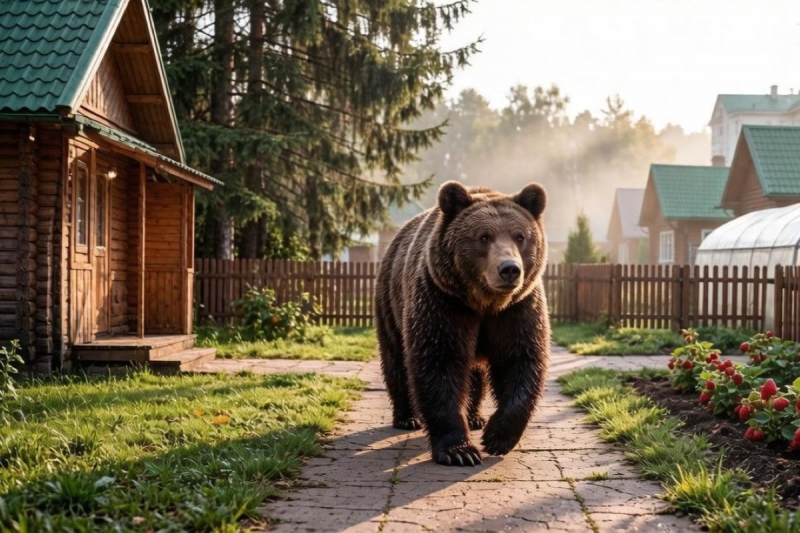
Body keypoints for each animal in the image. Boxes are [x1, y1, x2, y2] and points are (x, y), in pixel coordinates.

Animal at [374, 180, 550, 467]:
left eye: (520, 236)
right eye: (484, 236)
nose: (509, 269)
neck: (485, 303)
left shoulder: (517, 310)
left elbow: (520, 361)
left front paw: (497, 437)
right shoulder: (443, 302)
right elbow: (439, 363)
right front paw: (460, 451)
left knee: (476, 374)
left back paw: (475, 416)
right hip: (390, 301)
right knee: (396, 359)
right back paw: (406, 417)